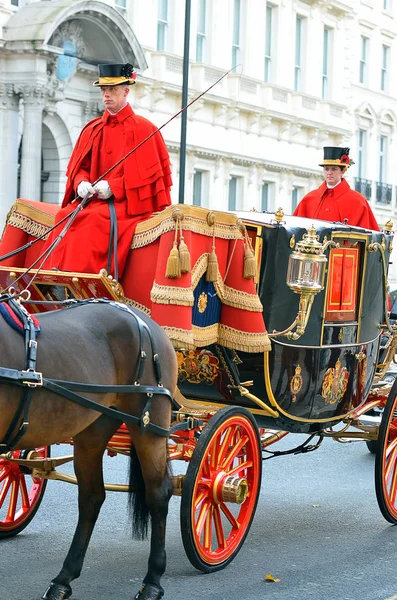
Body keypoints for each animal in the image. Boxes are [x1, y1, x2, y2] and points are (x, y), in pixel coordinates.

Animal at [0, 300, 178, 600]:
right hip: (92, 428)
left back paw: (153, 581)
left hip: (149, 424)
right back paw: (64, 578)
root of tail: (143, 319)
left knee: (157, 494)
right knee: (92, 497)